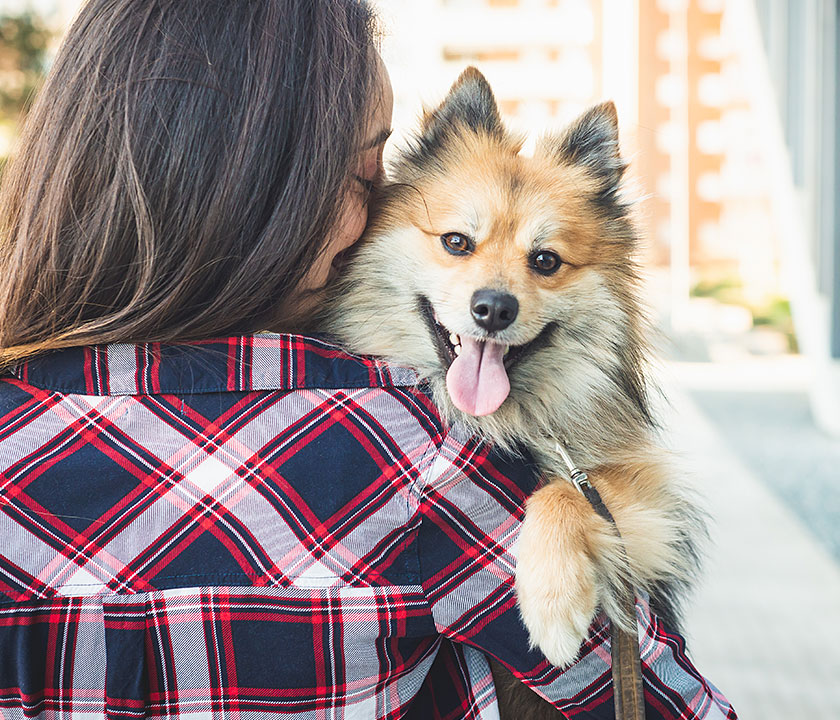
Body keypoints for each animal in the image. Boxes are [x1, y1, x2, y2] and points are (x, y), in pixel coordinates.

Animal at [324, 66, 704, 692]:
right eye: (456, 242)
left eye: (545, 261)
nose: (494, 308)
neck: (508, 419)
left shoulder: (643, 501)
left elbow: (563, 492)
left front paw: (553, 602)